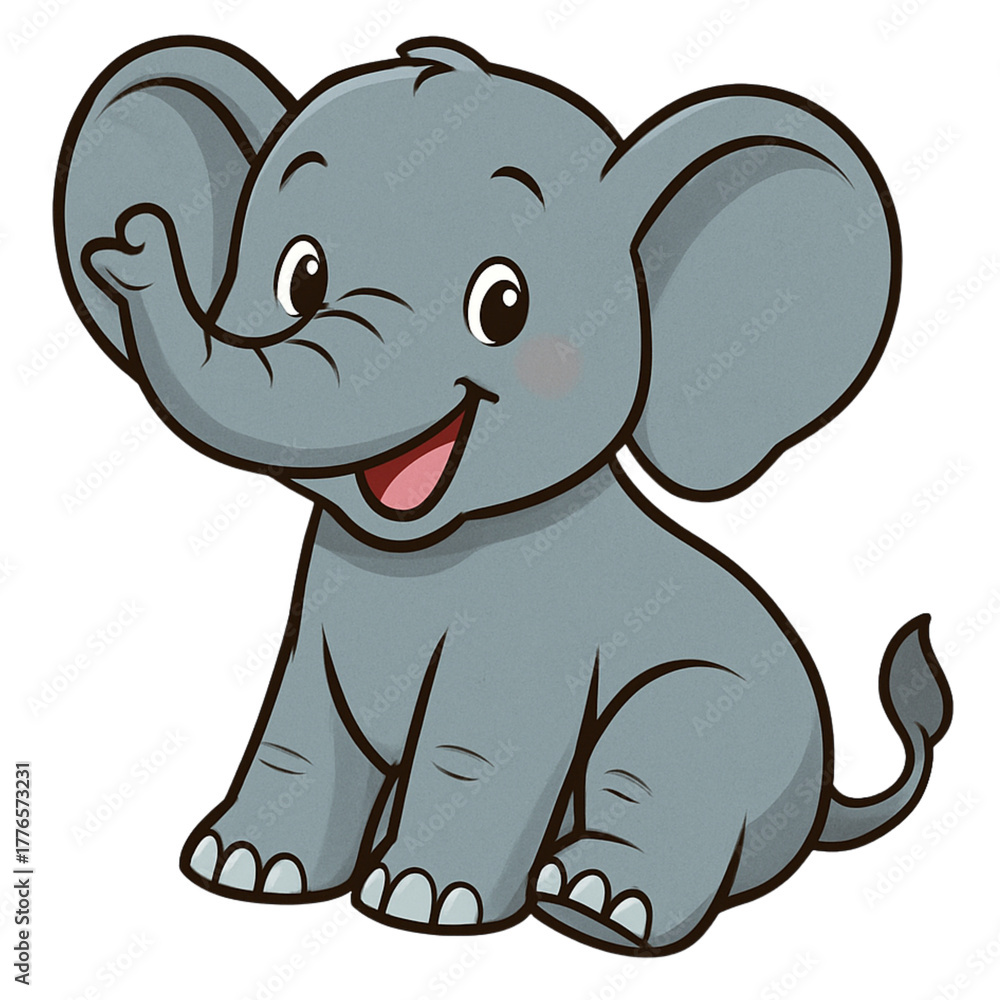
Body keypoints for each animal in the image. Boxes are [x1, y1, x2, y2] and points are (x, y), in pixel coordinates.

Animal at [54, 35, 953, 956]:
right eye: (299, 279)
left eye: (503, 304)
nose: (132, 242)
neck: (428, 548)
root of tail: (825, 803)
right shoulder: (317, 617)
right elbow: (303, 729)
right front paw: (245, 868)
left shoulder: (541, 628)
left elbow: (482, 747)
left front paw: (421, 902)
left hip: (723, 717)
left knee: (659, 762)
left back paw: (596, 904)